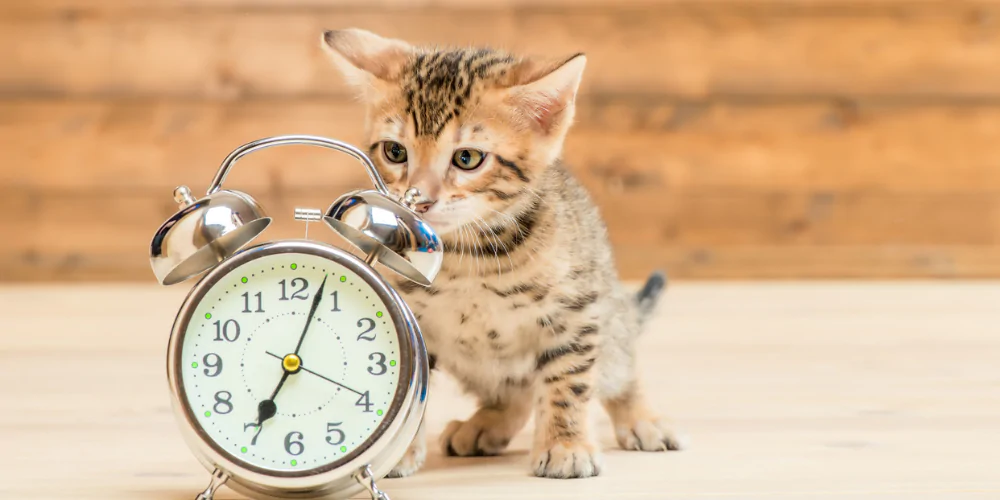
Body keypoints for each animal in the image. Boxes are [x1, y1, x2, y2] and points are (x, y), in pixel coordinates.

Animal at [324, 28, 684, 480]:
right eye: (395, 152)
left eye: (467, 158)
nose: (419, 201)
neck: (466, 258)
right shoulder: (409, 316)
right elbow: (408, 385)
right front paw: (394, 447)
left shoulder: (575, 310)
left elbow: (568, 379)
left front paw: (566, 445)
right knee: (519, 393)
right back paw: (486, 425)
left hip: (610, 314)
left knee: (617, 368)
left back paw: (641, 418)